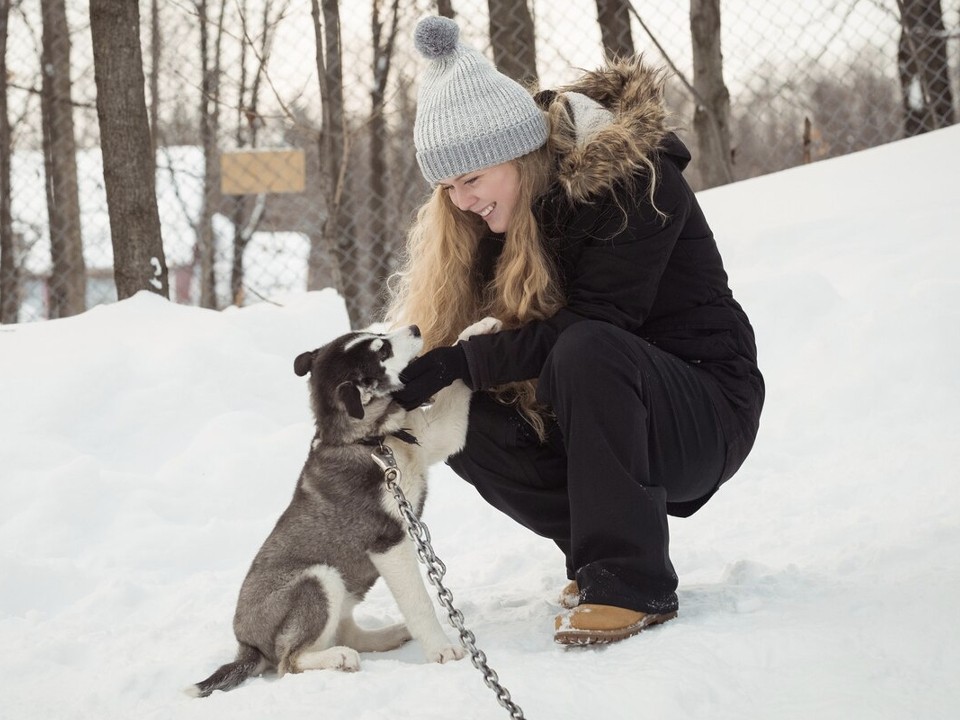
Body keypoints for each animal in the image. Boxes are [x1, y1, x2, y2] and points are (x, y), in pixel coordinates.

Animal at [189, 316, 502, 696]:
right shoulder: (388, 542)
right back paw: (338, 658)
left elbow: (453, 388)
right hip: (319, 578)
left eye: (376, 335)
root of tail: (247, 646)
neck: (372, 441)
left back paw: (388, 636)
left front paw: (475, 332)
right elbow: (420, 602)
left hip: (343, 588)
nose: (414, 328)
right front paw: (441, 649)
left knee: (346, 631)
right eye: (382, 351)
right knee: (290, 662)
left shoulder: (437, 437)